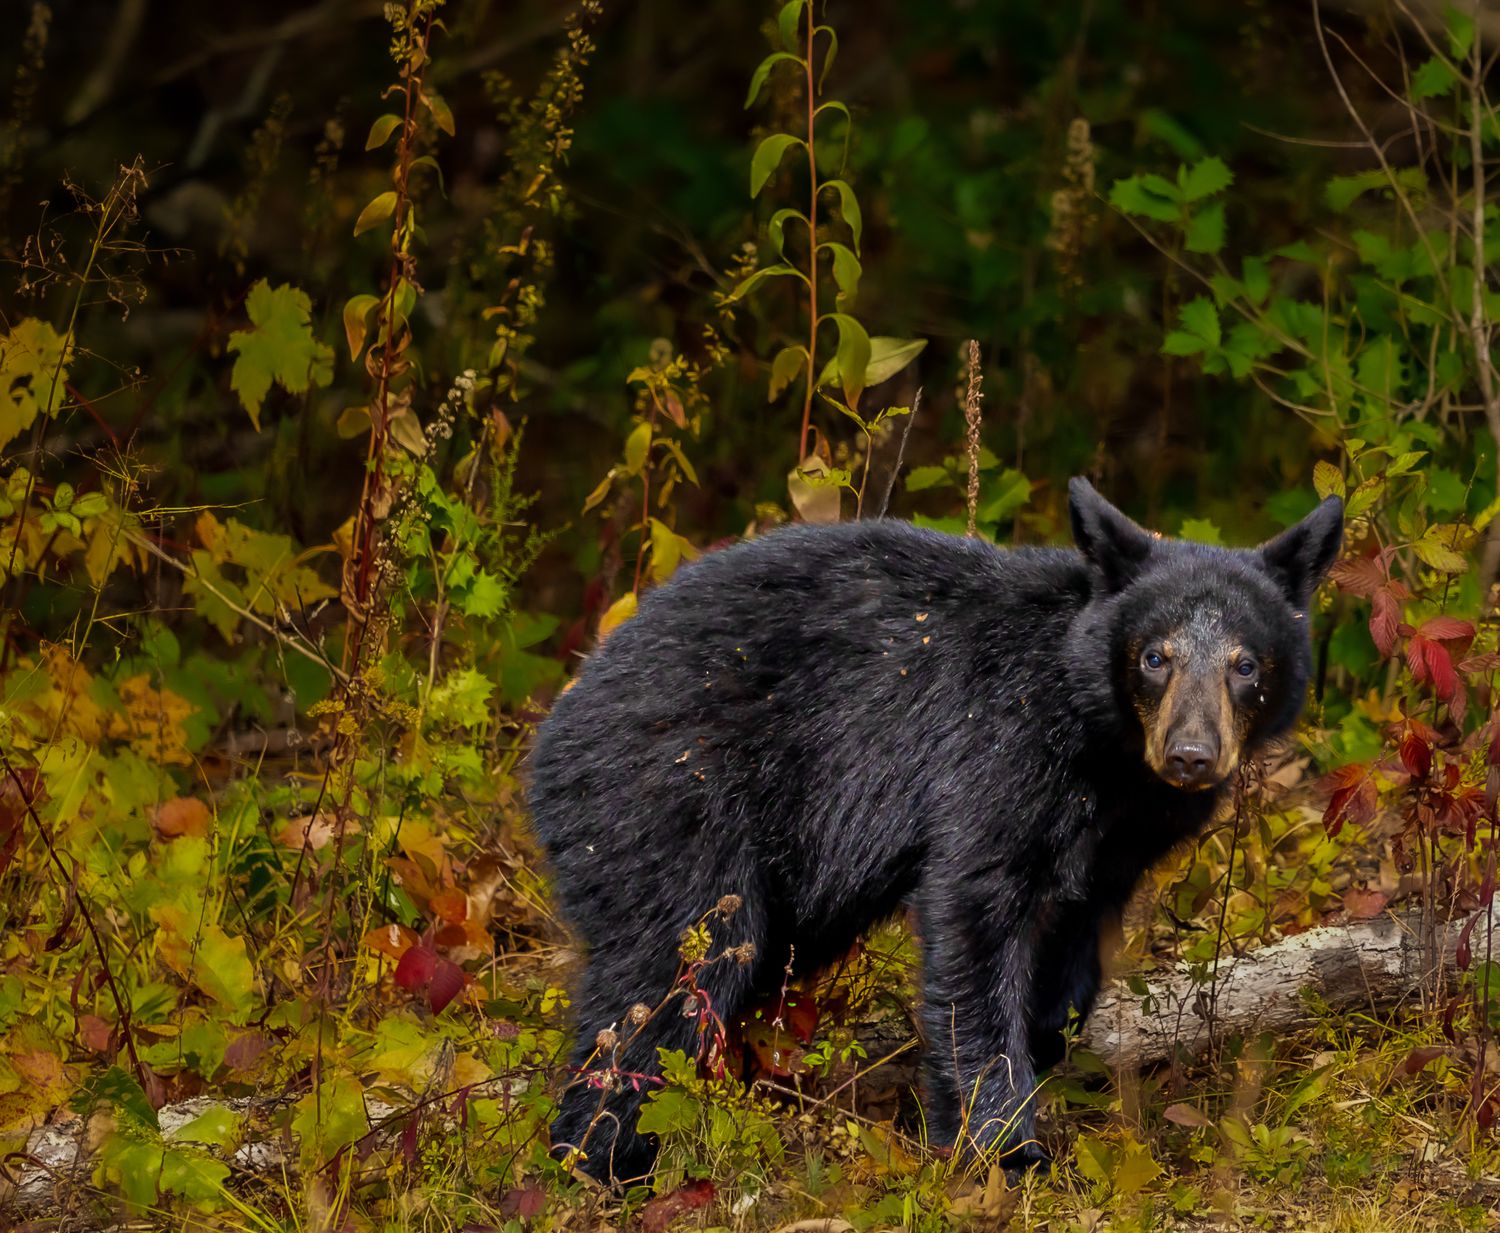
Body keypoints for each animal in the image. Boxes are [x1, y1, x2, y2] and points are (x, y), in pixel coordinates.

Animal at [528, 478, 1344, 1184]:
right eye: (1154, 656)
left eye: (1246, 663)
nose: (1190, 756)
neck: (1106, 752)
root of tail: (547, 741)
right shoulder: (998, 753)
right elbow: (974, 920)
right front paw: (1001, 1147)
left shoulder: (1121, 844)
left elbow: (1071, 951)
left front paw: (1041, 1049)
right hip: (671, 808)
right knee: (664, 978)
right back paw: (599, 1154)